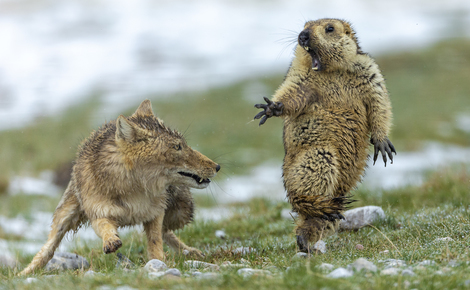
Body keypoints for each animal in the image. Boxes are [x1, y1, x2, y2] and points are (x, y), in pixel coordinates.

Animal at [20, 99, 220, 274]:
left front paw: (159, 263)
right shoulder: (99, 213)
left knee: (167, 231)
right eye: (177, 147)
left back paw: (190, 252)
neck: (133, 190)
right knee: (47, 249)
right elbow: (105, 227)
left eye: (183, 145)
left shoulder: (155, 213)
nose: (217, 166)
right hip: (64, 216)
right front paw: (111, 241)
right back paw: (24, 273)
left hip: (181, 212)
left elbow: (155, 242)